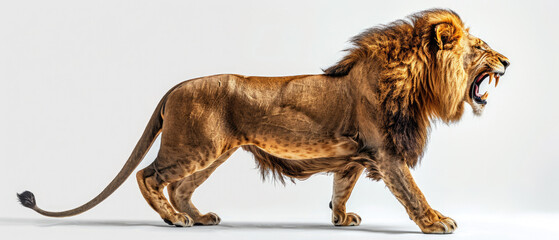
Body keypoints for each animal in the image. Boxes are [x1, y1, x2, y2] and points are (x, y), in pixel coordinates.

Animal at [17, 8, 510, 232]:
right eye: (481, 48)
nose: (507, 61)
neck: (413, 83)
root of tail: (174, 88)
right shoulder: (387, 153)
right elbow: (411, 191)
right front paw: (436, 222)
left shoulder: (354, 156)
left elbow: (341, 188)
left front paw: (340, 218)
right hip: (194, 146)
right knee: (149, 176)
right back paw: (175, 221)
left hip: (213, 152)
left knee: (180, 186)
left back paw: (199, 218)